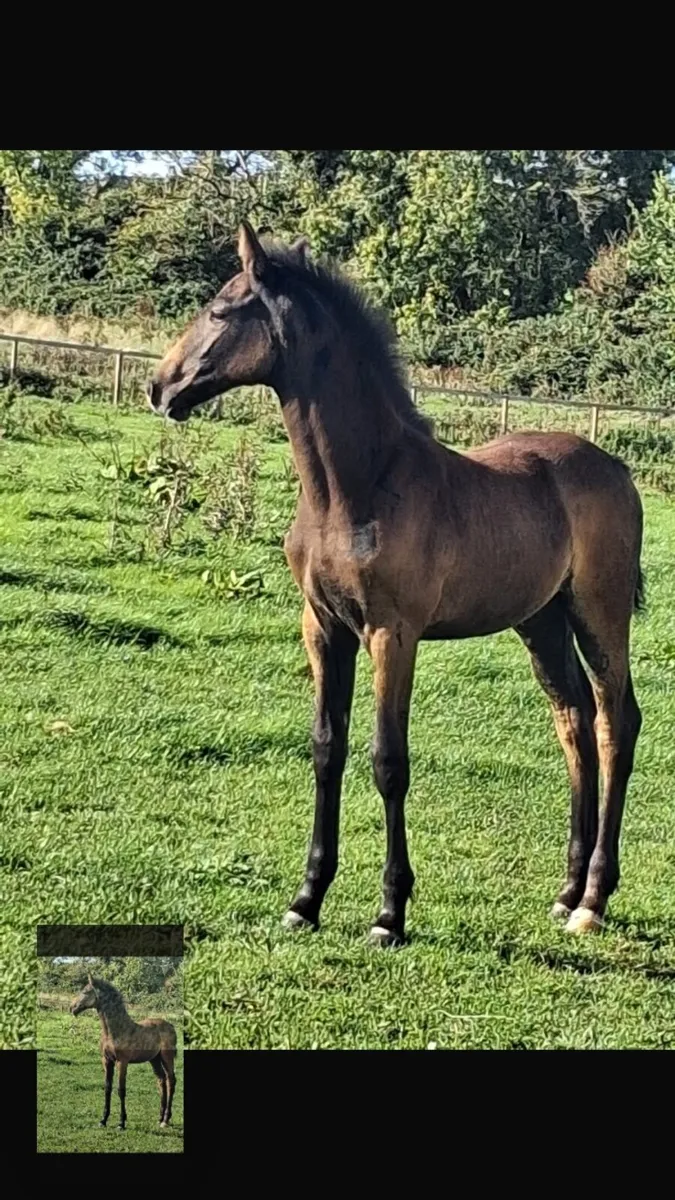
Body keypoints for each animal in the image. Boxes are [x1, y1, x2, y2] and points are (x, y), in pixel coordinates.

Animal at [71, 975, 177, 1129]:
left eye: (85, 991)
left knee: (171, 1081)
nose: (72, 1007)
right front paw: (103, 1120)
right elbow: (107, 1088)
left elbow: (121, 1089)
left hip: (167, 1057)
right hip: (154, 1059)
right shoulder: (107, 1060)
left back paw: (166, 1120)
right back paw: (160, 1117)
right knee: (161, 1080)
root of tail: (171, 1026)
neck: (114, 1031)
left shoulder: (122, 1062)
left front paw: (121, 1122)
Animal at [147, 221, 644, 947]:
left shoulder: (392, 633)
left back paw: (593, 901)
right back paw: (565, 890)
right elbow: (327, 747)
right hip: (542, 620)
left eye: (219, 310)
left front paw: (389, 913)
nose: (159, 387)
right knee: (572, 720)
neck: (354, 488)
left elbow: (388, 760)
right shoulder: (323, 626)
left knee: (615, 722)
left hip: (598, 611)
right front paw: (306, 900)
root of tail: (616, 467)